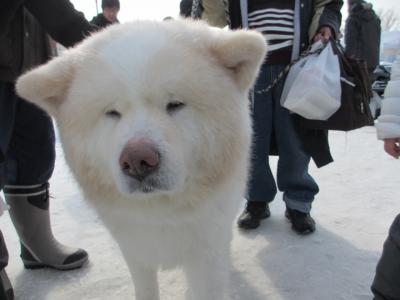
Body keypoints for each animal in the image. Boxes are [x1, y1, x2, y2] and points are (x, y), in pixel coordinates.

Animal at [16, 19, 266, 298]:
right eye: (112, 113)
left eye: (175, 104)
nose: (137, 160)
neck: (161, 211)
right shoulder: (135, 249)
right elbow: (145, 287)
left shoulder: (206, 252)